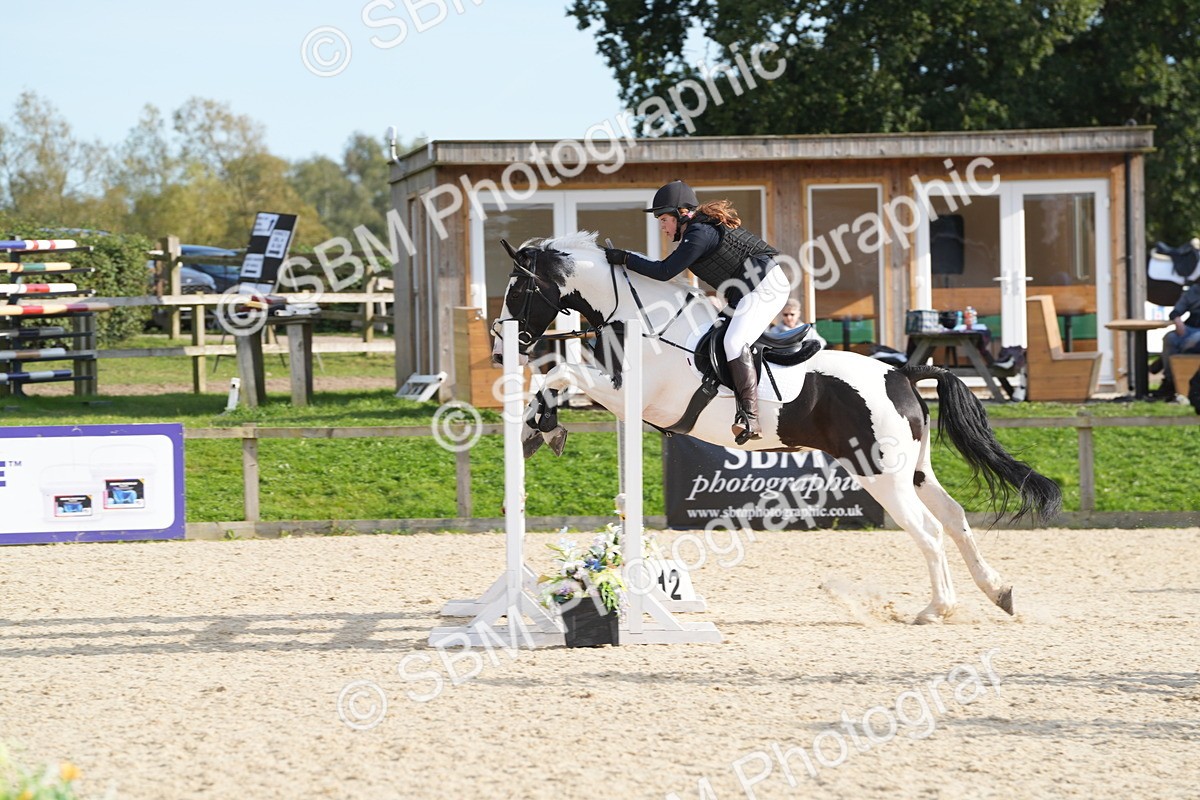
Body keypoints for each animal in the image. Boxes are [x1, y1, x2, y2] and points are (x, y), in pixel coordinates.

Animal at [492, 231, 1061, 624]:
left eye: (518, 288)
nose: (500, 348)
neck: (646, 321)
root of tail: (901, 372)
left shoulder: (635, 395)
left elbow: (560, 373)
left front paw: (540, 427)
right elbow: (555, 378)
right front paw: (538, 428)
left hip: (880, 475)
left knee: (927, 530)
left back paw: (936, 609)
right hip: (912, 470)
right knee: (956, 518)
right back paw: (998, 592)